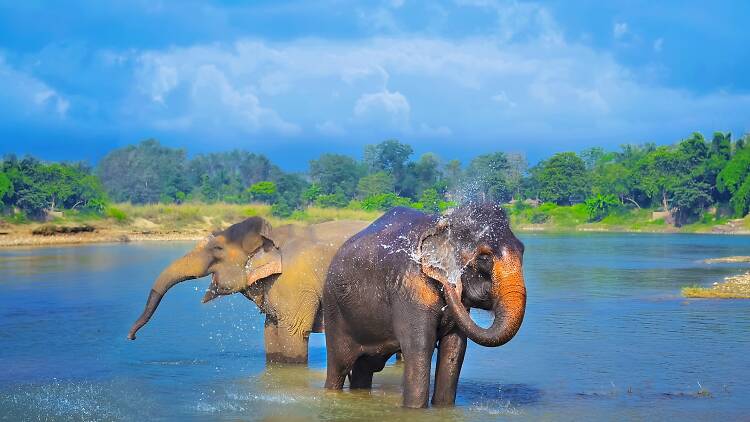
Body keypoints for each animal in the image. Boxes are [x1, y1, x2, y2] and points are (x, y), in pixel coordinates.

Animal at [129, 216, 370, 364]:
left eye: (218, 249)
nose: (131, 337)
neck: (272, 237)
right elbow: (270, 331)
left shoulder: (296, 283)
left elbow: (293, 333)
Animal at [324, 204, 528, 408]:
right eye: (484, 258)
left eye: (522, 251)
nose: (451, 284)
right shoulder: (411, 289)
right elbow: (420, 347)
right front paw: (415, 410)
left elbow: (454, 349)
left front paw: (443, 408)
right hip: (334, 312)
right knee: (339, 367)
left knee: (364, 367)